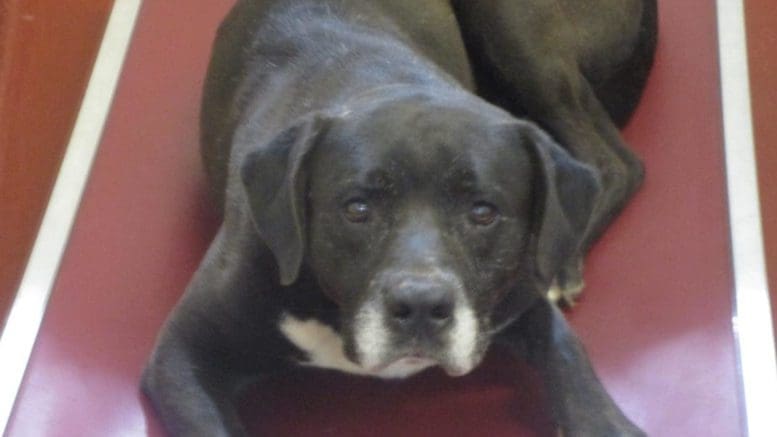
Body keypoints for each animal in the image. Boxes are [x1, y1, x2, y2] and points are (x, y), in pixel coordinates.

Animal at [141, 1, 656, 434]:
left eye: (483, 212)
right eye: (357, 209)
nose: (422, 306)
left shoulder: (528, 305)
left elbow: (574, 370)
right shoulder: (181, 357)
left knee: (613, 162)